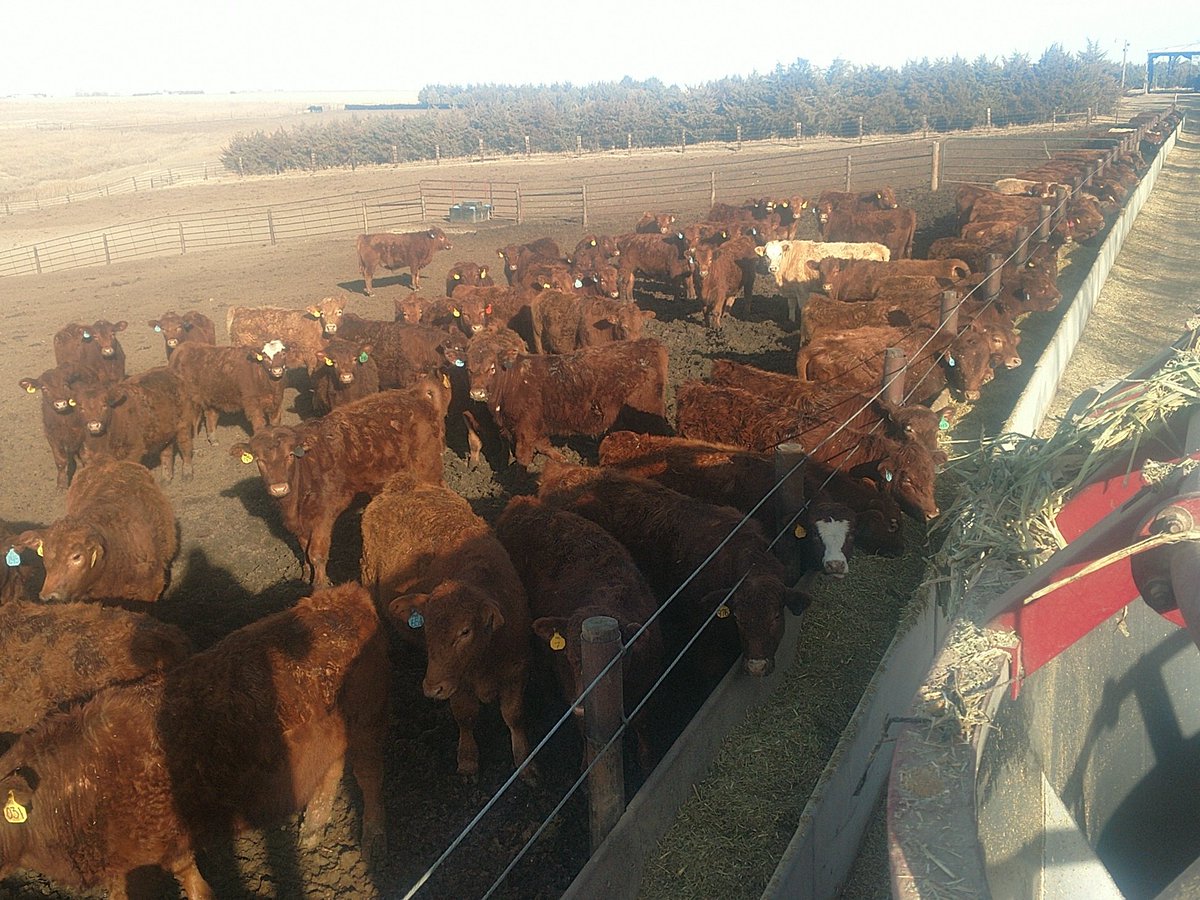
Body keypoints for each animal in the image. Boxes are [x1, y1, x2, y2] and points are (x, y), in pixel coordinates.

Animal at [230, 376, 450, 586]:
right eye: (259, 460)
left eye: (290, 455)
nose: (278, 488)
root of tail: (413, 394)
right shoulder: (301, 522)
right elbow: (304, 549)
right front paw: (305, 575)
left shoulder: (323, 516)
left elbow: (316, 554)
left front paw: (320, 585)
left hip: (428, 465)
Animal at [361, 473, 534, 781]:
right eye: (426, 628)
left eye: (465, 631)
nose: (432, 688)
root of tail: (402, 482)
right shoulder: (458, 683)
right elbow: (465, 715)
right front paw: (467, 760)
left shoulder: (518, 668)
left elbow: (514, 715)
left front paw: (525, 763)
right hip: (368, 573)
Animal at [466, 338, 670, 469]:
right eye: (468, 368)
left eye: (492, 368)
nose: (477, 392)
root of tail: (649, 343)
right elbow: (544, 446)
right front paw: (562, 459)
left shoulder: (525, 429)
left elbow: (523, 456)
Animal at [494, 494, 665, 767]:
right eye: (571, 658)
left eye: (617, 662)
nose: (583, 704)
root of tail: (520, 502)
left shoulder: (646, 681)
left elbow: (642, 720)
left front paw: (647, 758)